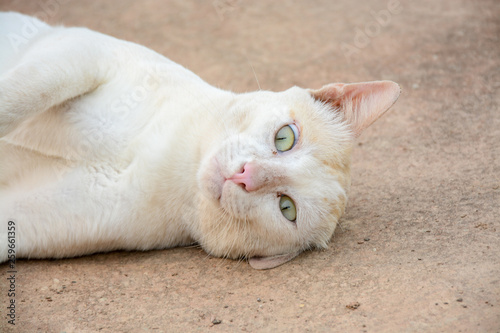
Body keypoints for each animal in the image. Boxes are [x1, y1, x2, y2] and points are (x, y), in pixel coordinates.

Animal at [0, 11, 398, 268]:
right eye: (286, 138)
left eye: (287, 208)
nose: (245, 175)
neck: (173, 158)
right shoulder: (84, 54)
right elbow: (22, 95)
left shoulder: (31, 219)